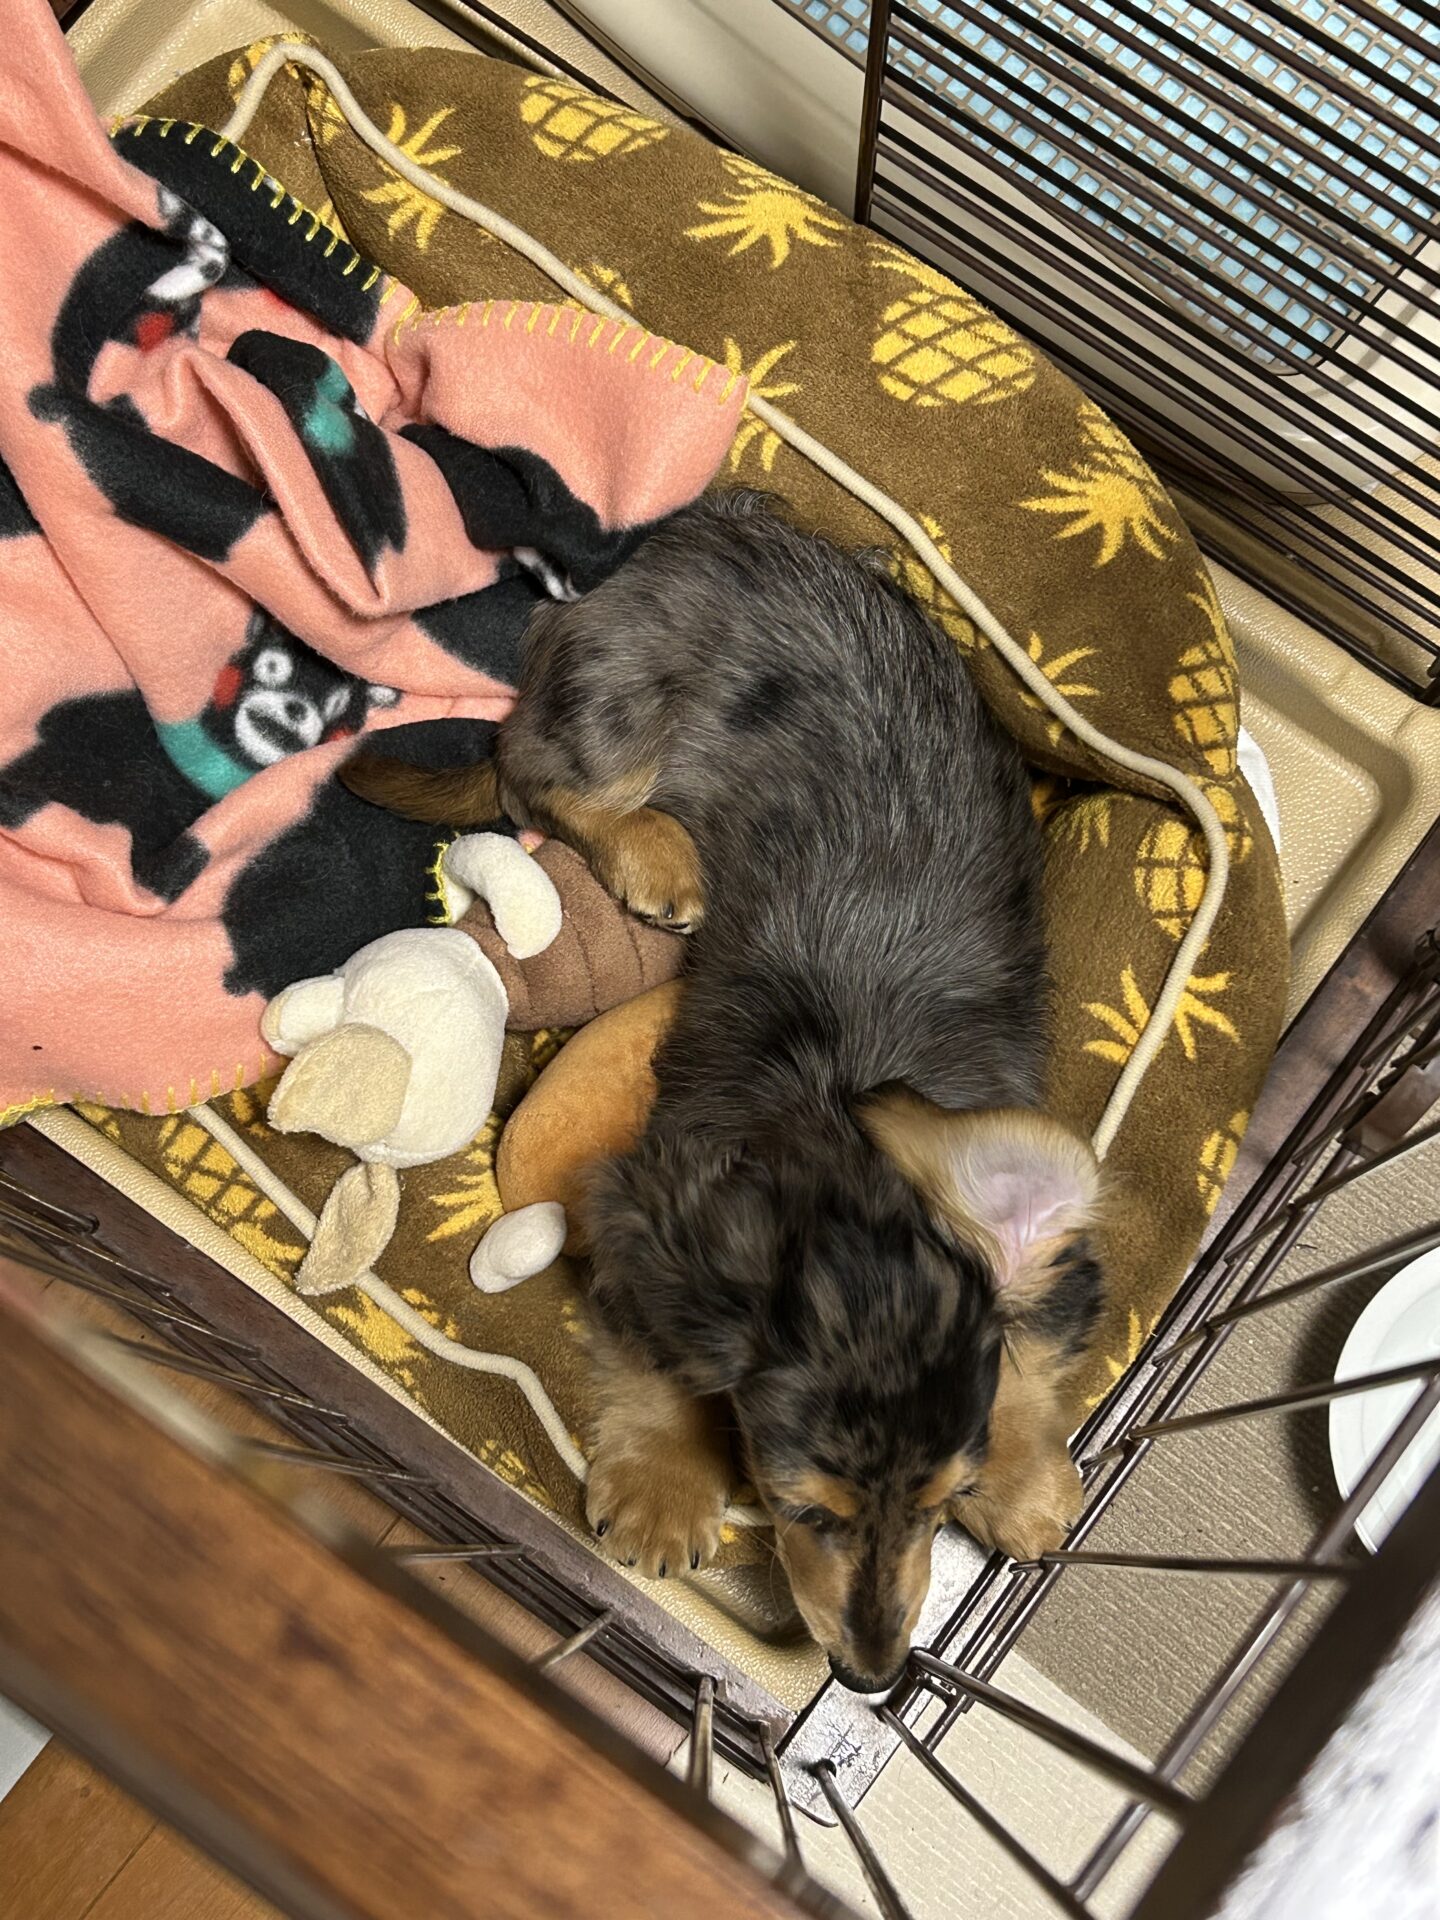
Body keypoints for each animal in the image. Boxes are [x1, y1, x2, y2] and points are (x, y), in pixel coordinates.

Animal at [343, 491, 1103, 1693]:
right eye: (801, 1509)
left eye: (944, 1502)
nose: (873, 1678)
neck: (840, 1117)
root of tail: (660, 545)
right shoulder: (647, 1215)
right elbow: (662, 1366)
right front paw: (664, 1490)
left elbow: (1027, 1334)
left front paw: (1029, 1480)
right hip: (619, 709)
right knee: (538, 776)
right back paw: (660, 856)